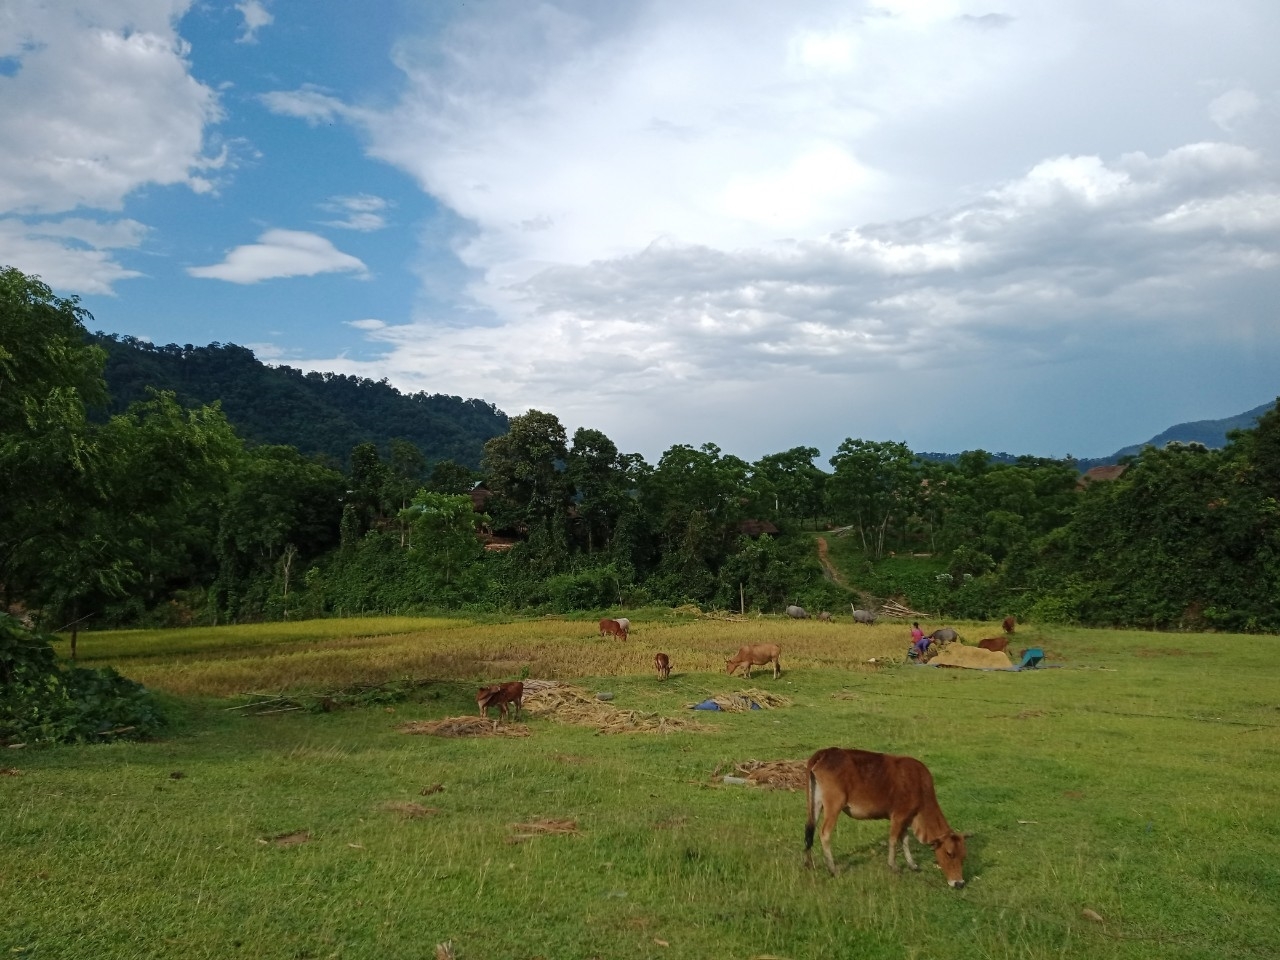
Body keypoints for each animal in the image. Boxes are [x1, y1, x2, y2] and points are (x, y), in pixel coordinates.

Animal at [803, 747, 962, 890]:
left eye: (964, 856)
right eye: (950, 853)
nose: (959, 883)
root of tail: (825, 752)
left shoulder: (906, 819)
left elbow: (905, 840)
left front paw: (912, 864)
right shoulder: (898, 815)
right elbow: (893, 840)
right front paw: (894, 866)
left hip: (816, 802)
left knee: (809, 830)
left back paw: (808, 864)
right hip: (834, 804)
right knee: (824, 833)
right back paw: (832, 869)